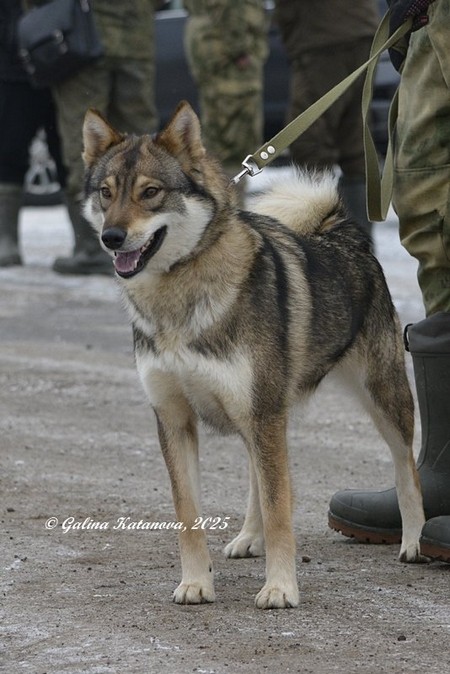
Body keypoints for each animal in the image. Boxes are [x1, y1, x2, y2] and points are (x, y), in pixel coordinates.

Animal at [82, 101, 425, 609]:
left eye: (151, 192)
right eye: (106, 194)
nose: (111, 237)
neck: (178, 299)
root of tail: (343, 233)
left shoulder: (262, 415)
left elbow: (280, 507)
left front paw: (280, 587)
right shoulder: (175, 419)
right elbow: (190, 514)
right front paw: (196, 582)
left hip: (379, 397)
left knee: (406, 469)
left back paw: (414, 540)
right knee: (256, 480)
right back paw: (249, 537)